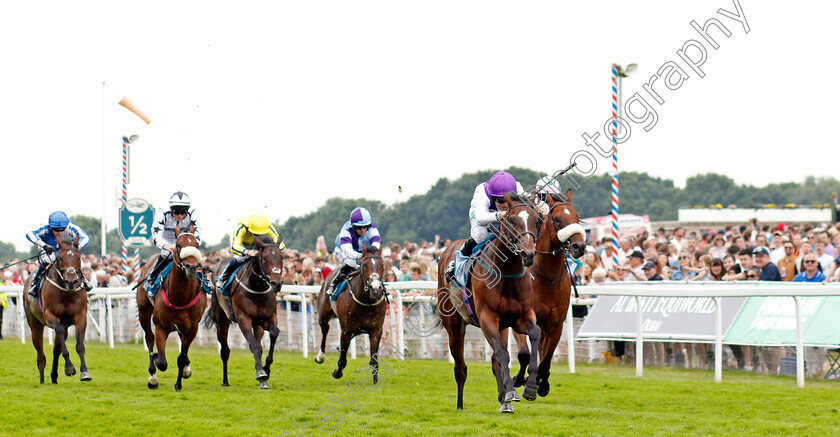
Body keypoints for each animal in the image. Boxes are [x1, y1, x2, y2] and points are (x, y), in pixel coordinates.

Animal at [23, 232, 90, 382]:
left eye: (78, 258)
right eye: (60, 258)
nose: (71, 281)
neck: (66, 293)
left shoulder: (81, 317)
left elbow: (79, 346)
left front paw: (85, 372)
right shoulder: (50, 316)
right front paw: (70, 367)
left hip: (66, 327)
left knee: (56, 350)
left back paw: (54, 377)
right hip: (35, 324)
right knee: (40, 354)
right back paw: (42, 380)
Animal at [136, 227, 207, 390]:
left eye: (196, 245)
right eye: (179, 245)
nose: (191, 267)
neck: (180, 297)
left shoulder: (192, 328)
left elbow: (182, 357)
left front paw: (179, 383)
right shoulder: (161, 326)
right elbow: (162, 362)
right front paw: (156, 359)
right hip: (143, 312)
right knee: (149, 338)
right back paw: (153, 377)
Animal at [206, 235, 286, 388]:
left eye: (281, 257)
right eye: (264, 258)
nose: (276, 283)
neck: (257, 287)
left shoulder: (268, 318)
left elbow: (273, 334)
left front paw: (266, 370)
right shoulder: (243, 319)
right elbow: (253, 345)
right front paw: (261, 373)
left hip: (257, 324)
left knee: (259, 344)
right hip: (222, 320)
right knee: (225, 350)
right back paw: (225, 380)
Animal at [316, 245, 388, 382]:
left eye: (382, 265)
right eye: (364, 265)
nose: (375, 288)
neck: (366, 301)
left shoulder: (376, 330)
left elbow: (374, 361)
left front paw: (376, 382)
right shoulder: (346, 331)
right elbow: (342, 361)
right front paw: (337, 373)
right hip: (323, 315)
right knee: (325, 329)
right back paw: (320, 356)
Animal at [436, 192, 540, 412]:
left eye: (536, 221)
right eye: (512, 220)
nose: (528, 254)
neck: (506, 273)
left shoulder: (522, 316)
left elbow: (531, 340)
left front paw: (529, 387)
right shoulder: (487, 318)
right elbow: (503, 354)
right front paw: (511, 391)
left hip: (502, 326)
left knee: (494, 362)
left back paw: (504, 401)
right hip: (454, 325)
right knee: (461, 367)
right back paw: (460, 405)